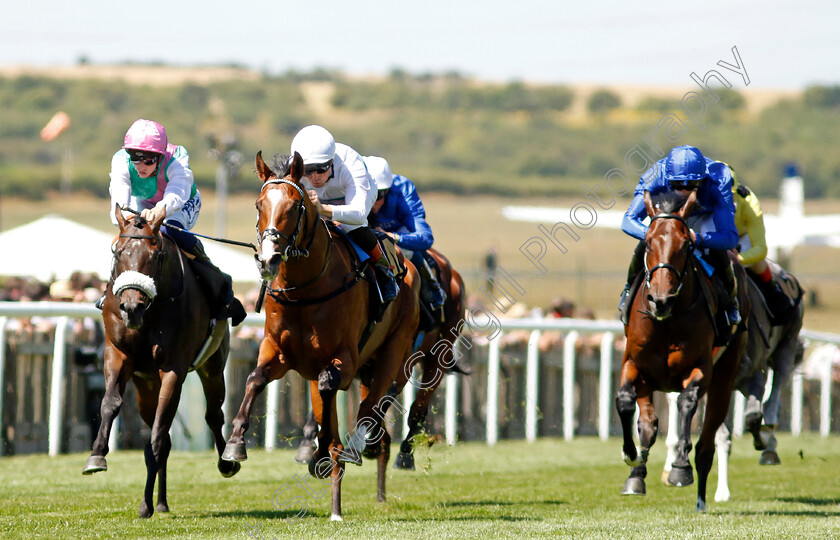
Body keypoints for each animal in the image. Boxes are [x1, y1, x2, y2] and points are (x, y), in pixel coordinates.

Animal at [82, 208, 238, 520]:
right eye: (118, 252)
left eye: (156, 255)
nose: (131, 307)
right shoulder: (117, 355)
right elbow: (110, 404)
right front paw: (97, 456)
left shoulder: (173, 368)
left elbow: (155, 437)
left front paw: (145, 505)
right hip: (146, 387)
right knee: (164, 433)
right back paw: (163, 502)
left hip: (213, 366)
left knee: (213, 415)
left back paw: (227, 462)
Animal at [221, 152, 420, 524]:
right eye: (258, 204)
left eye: (295, 205)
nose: (268, 259)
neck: (306, 289)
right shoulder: (278, 351)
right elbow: (254, 379)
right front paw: (234, 445)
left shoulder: (346, 357)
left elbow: (331, 389)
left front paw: (324, 454)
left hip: (393, 352)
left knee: (371, 405)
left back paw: (354, 449)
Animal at [294, 247, 470, 470]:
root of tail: (454, 276)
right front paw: (308, 443)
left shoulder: (398, 358)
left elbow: (385, 397)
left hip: (438, 353)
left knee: (417, 408)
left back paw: (404, 454)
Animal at [616, 190, 748, 510]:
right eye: (648, 241)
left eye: (687, 244)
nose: (660, 300)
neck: (667, 321)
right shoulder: (635, 364)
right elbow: (626, 402)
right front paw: (630, 455)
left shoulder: (700, 367)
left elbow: (687, 404)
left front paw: (679, 468)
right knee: (649, 423)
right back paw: (637, 476)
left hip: (725, 375)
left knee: (708, 440)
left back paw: (702, 496)